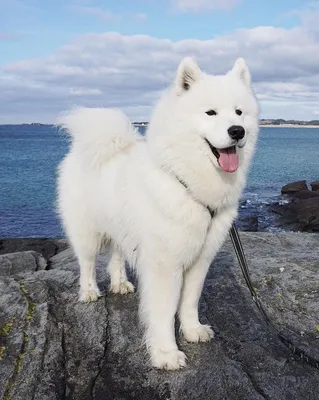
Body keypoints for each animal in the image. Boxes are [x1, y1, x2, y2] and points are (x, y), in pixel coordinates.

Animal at [57, 56, 260, 368]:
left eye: (239, 112)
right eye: (210, 112)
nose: (237, 130)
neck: (186, 182)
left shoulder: (200, 259)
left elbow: (189, 301)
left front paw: (192, 330)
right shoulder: (165, 265)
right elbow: (164, 311)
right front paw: (165, 353)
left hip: (121, 226)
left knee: (116, 256)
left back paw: (120, 282)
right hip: (87, 232)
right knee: (87, 263)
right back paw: (90, 291)